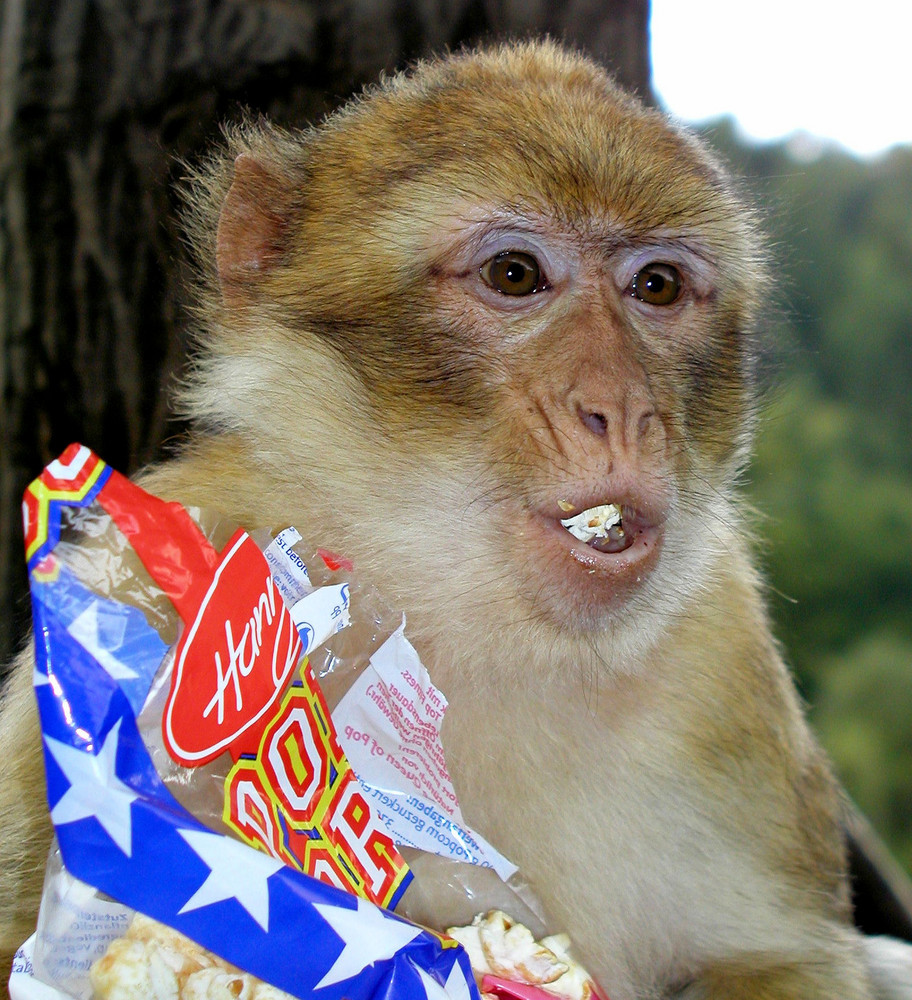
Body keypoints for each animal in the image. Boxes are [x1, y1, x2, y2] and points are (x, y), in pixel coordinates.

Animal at [1, 39, 910, 1000]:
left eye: (657, 286)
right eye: (515, 275)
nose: (622, 409)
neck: (454, 625)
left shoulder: (723, 651)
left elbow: (784, 961)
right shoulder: (133, 572)